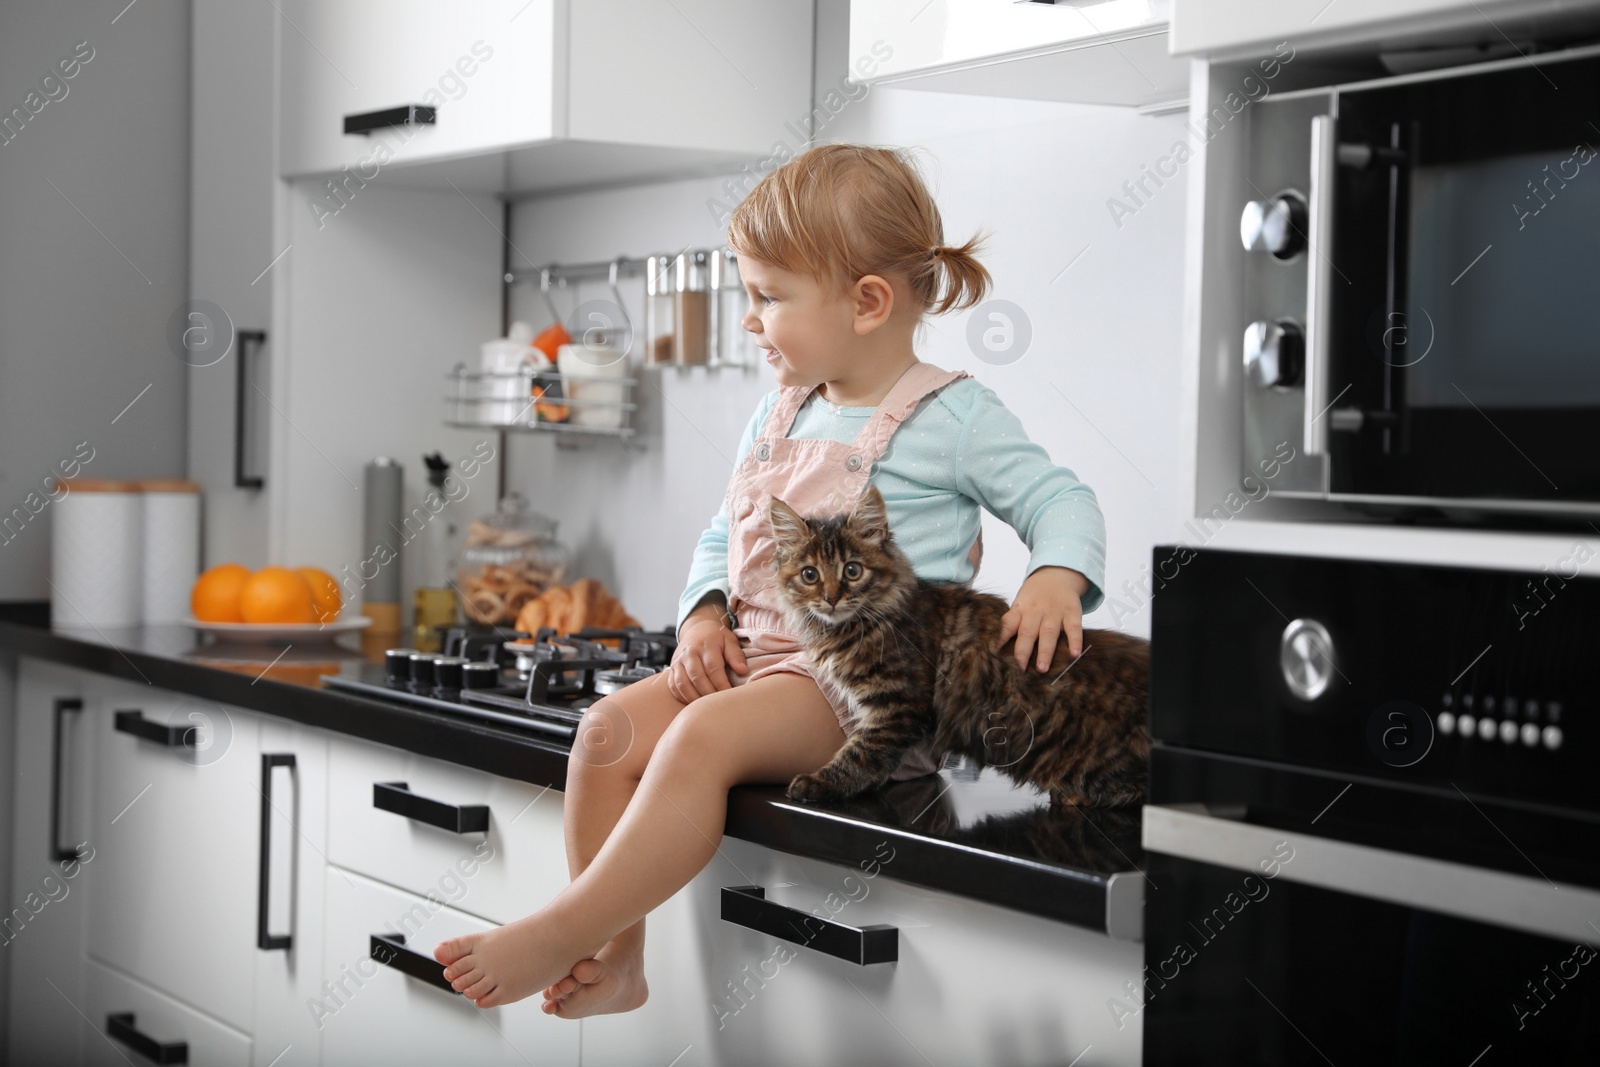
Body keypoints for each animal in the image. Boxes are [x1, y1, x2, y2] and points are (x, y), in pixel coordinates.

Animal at [764, 486, 1152, 809]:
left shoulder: (897, 706)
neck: (853, 626)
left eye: (853, 571)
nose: (831, 598)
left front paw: (821, 783)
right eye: (810, 575)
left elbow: (860, 754)